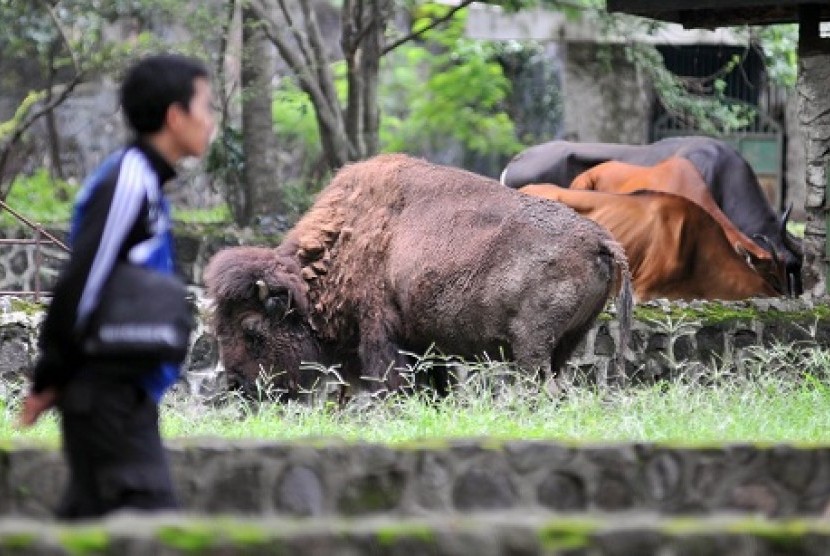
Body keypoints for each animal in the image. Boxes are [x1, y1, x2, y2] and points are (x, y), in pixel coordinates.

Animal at [205, 154, 632, 398]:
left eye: (252, 330)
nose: (238, 387)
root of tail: (601, 240)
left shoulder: (382, 337)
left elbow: (394, 385)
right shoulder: (428, 346)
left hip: (532, 347)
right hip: (564, 345)